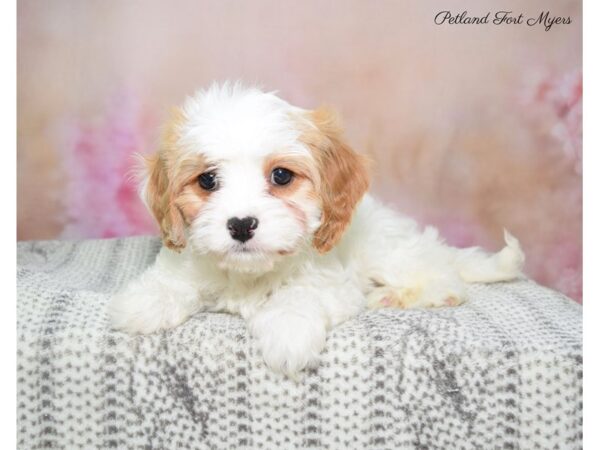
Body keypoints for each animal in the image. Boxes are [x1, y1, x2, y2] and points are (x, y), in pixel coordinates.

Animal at [109, 82, 524, 374]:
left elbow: (298, 296)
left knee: (444, 278)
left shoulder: (333, 285)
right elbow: (174, 279)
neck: (250, 274)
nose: (241, 225)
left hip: (388, 251)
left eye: (281, 176)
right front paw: (146, 302)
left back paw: (395, 296)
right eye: (207, 180)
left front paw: (287, 332)